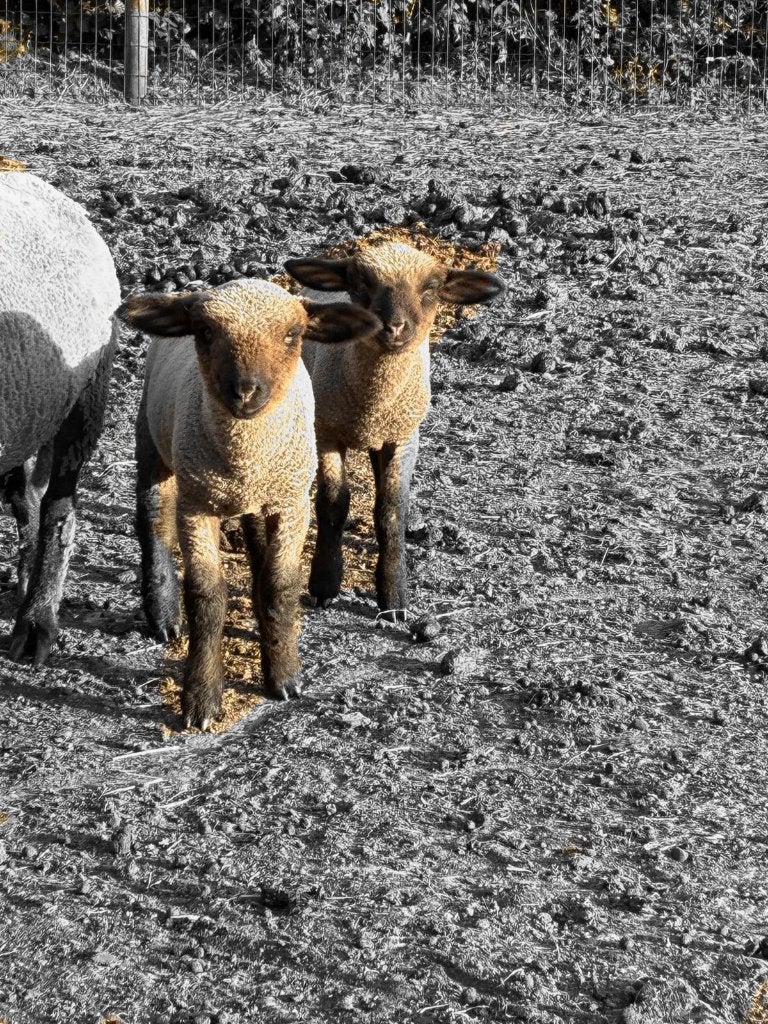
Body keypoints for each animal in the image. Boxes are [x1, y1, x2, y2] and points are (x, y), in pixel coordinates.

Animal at [120, 279, 380, 730]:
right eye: (205, 332)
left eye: (293, 334)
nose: (244, 392)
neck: (245, 457)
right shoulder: (196, 506)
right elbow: (205, 596)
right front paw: (201, 699)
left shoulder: (290, 502)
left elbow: (279, 583)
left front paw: (284, 675)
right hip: (152, 441)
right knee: (152, 517)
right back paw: (163, 615)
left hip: (258, 496)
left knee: (257, 546)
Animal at [284, 240, 505, 614]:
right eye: (360, 284)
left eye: (430, 289)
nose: (395, 328)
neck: (371, 407)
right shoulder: (326, 433)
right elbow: (333, 505)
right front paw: (324, 584)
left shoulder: (403, 437)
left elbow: (391, 507)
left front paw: (394, 596)